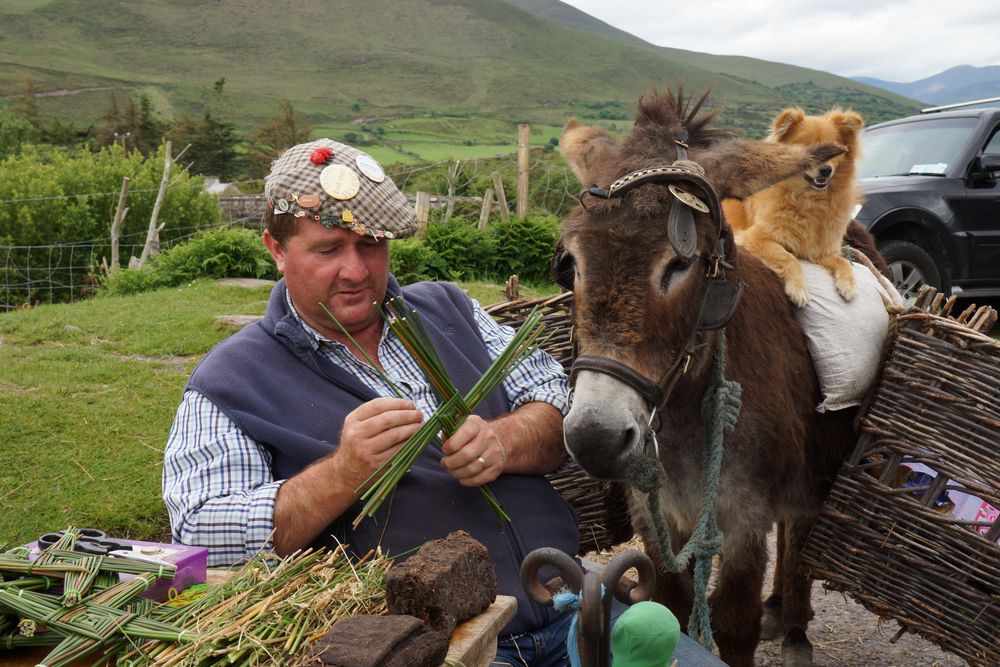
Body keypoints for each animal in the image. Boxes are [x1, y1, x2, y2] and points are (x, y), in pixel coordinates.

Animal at [724, 108, 864, 306]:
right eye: (807, 149)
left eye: (835, 150)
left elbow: (842, 261)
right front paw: (798, 288)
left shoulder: (819, 251)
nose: (826, 170)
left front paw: (849, 284)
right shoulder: (755, 237)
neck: (811, 200)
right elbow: (788, 257)